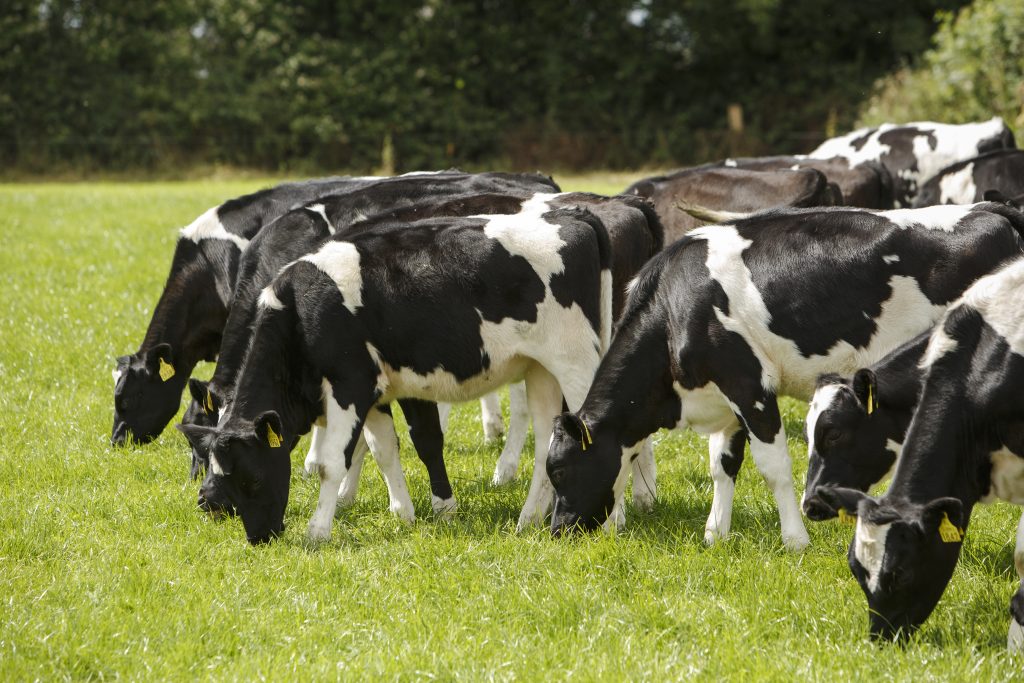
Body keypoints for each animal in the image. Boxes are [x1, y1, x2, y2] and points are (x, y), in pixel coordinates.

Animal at [186, 190, 663, 521]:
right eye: (201, 448)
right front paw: (402, 511)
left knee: (612, 433)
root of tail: (579, 215)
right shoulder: (378, 387)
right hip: (542, 369)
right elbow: (384, 448)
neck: (299, 310)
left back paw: (619, 515)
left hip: (578, 364)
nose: (205, 499)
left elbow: (365, 453)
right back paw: (536, 516)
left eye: (242, 469)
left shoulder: (355, 385)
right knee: (552, 434)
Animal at [543, 202, 1024, 551]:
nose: (558, 529)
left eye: (560, 471)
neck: (674, 308)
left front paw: (795, 539)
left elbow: (772, 467)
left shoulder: (750, 386)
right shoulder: (726, 398)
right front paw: (716, 534)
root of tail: (990, 208)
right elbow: (722, 465)